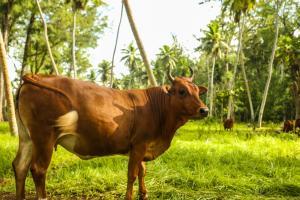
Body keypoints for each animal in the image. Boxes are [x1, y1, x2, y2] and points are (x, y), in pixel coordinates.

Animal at [12, 67, 209, 200]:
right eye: (182, 91)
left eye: (197, 91)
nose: (205, 110)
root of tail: (35, 75)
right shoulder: (139, 145)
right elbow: (132, 174)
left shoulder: (141, 148)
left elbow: (142, 171)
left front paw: (144, 194)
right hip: (44, 137)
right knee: (38, 169)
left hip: (27, 138)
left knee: (19, 166)